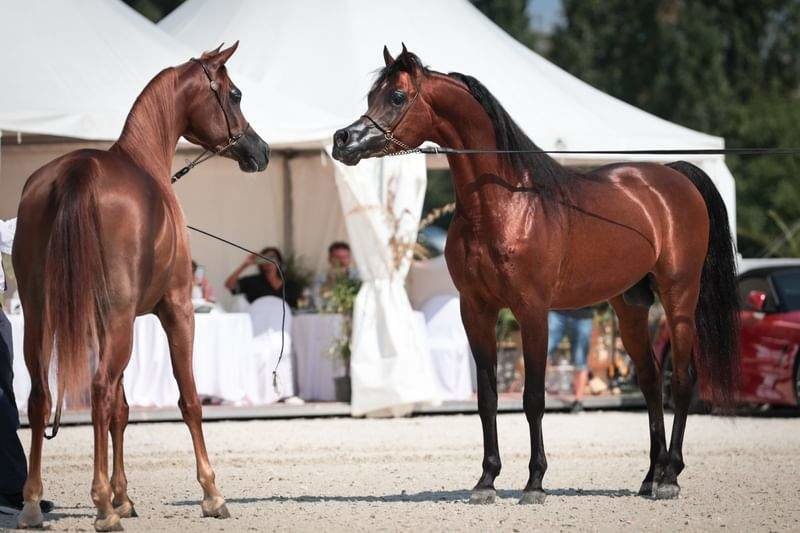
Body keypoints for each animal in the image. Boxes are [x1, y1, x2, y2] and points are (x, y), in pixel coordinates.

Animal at [12, 42, 268, 528]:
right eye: (236, 94)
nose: (260, 150)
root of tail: (77, 173)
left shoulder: (107, 321)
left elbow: (122, 409)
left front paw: (123, 496)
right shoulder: (175, 311)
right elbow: (188, 400)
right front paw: (211, 493)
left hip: (42, 317)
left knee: (41, 398)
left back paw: (34, 502)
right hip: (116, 321)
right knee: (96, 390)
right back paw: (99, 506)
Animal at [332, 45, 736, 502]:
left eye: (398, 96)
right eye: (371, 96)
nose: (343, 141)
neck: (504, 206)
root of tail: (675, 177)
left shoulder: (532, 311)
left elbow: (533, 398)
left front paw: (535, 482)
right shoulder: (476, 311)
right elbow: (487, 397)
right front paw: (486, 481)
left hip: (679, 297)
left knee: (682, 379)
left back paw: (670, 477)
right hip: (630, 305)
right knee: (650, 381)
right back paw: (651, 475)